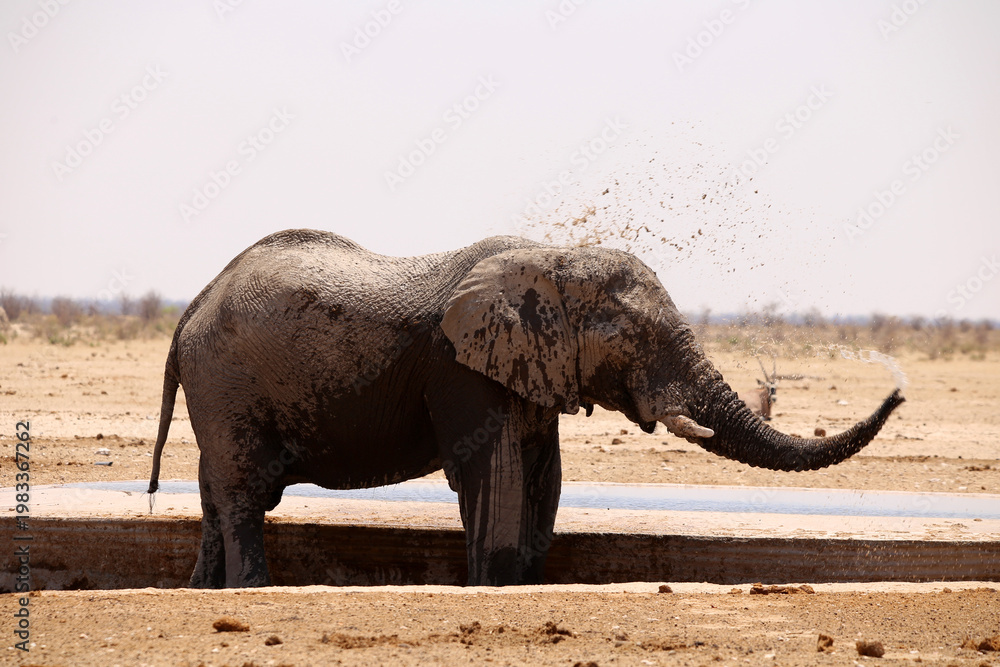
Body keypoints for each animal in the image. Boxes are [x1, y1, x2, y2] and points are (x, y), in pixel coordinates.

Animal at [147, 229, 904, 588]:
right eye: (631, 337)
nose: (897, 391)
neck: (552, 256)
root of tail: (189, 312)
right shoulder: (461, 369)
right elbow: (497, 475)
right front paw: (491, 586)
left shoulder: (531, 371)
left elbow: (543, 479)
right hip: (227, 383)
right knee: (244, 495)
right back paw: (251, 591)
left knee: (218, 496)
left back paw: (205, 594)